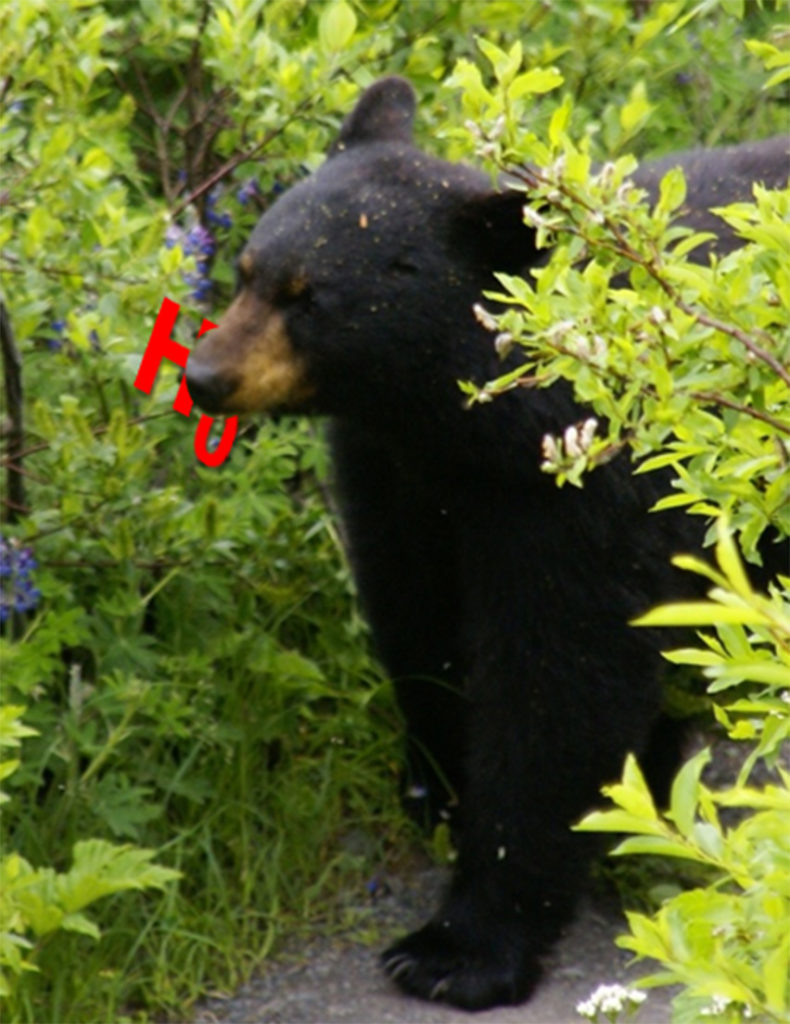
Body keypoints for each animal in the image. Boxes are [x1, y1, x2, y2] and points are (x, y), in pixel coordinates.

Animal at [184, 77, 790, 1010]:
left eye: (310, 297)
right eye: (248, 273)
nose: (204, 376)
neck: (465, 425)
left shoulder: (579, 491)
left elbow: (559, 684)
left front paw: (456, 948)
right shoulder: (398, 474)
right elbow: (415, 618)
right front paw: (436, 783)